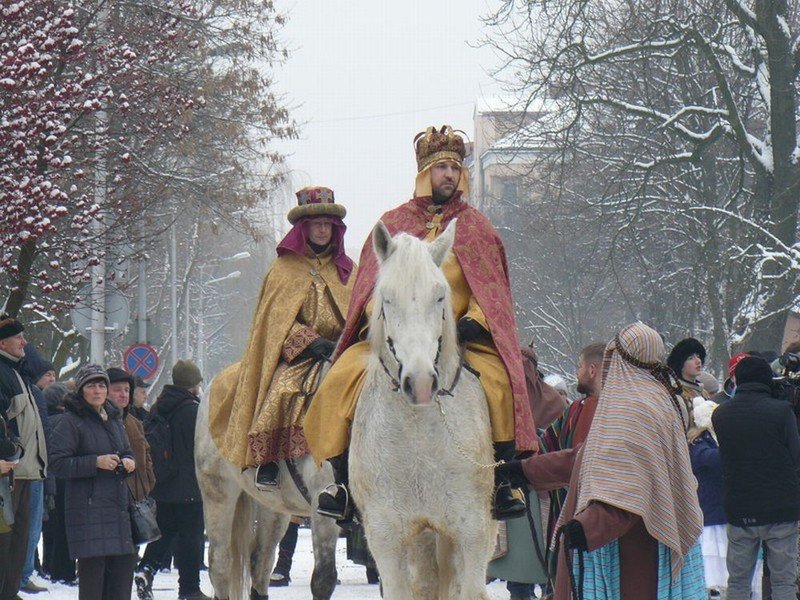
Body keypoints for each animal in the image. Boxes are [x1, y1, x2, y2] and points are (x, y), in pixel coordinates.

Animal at [199, 370, 340, 600]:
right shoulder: (325, 504)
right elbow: (324, 579)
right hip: (217, 494)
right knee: (219, 563)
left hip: (274, 506)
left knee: (261, 560)